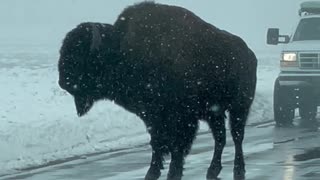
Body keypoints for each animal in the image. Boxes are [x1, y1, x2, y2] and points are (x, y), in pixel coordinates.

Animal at [57, 1, 258, 180]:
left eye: (79, 55)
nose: (63, 82)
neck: (121, 50)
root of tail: (249, 54)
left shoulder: (181, 118)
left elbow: (176, 147)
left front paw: (173, 173)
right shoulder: (152, 117)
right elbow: (157, 144)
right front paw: (152, 172)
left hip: (239, 108)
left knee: (237, 137)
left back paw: (238, 170)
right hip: (214, 113)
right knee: (220, 138)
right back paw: (213, 170)